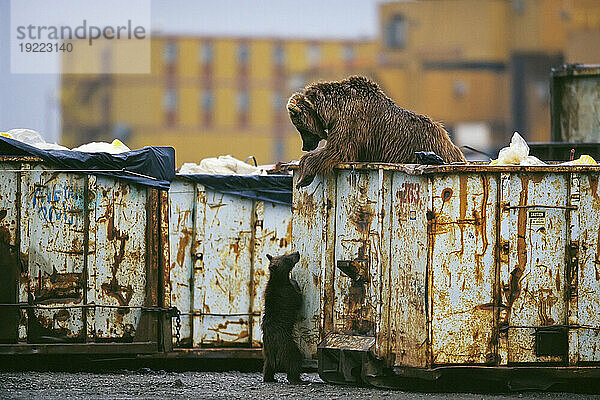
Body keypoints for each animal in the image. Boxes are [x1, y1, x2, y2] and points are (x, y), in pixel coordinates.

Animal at [262, 252, 302, 382]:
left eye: (285, 254)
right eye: (287, 258)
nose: (297, 253)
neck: (279, 279)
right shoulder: (287, 294)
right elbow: (298, 299)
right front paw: (295, 282)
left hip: (267, 351)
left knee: (267, 365)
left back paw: (269, 377)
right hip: (285, 344)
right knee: (293, 359)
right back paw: (296, 378)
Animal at [288, 75, 466, 188]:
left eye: (300, 128)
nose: (305, 147)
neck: (332, 110)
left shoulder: (350, 122)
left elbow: (337, 150)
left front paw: (303, 175)